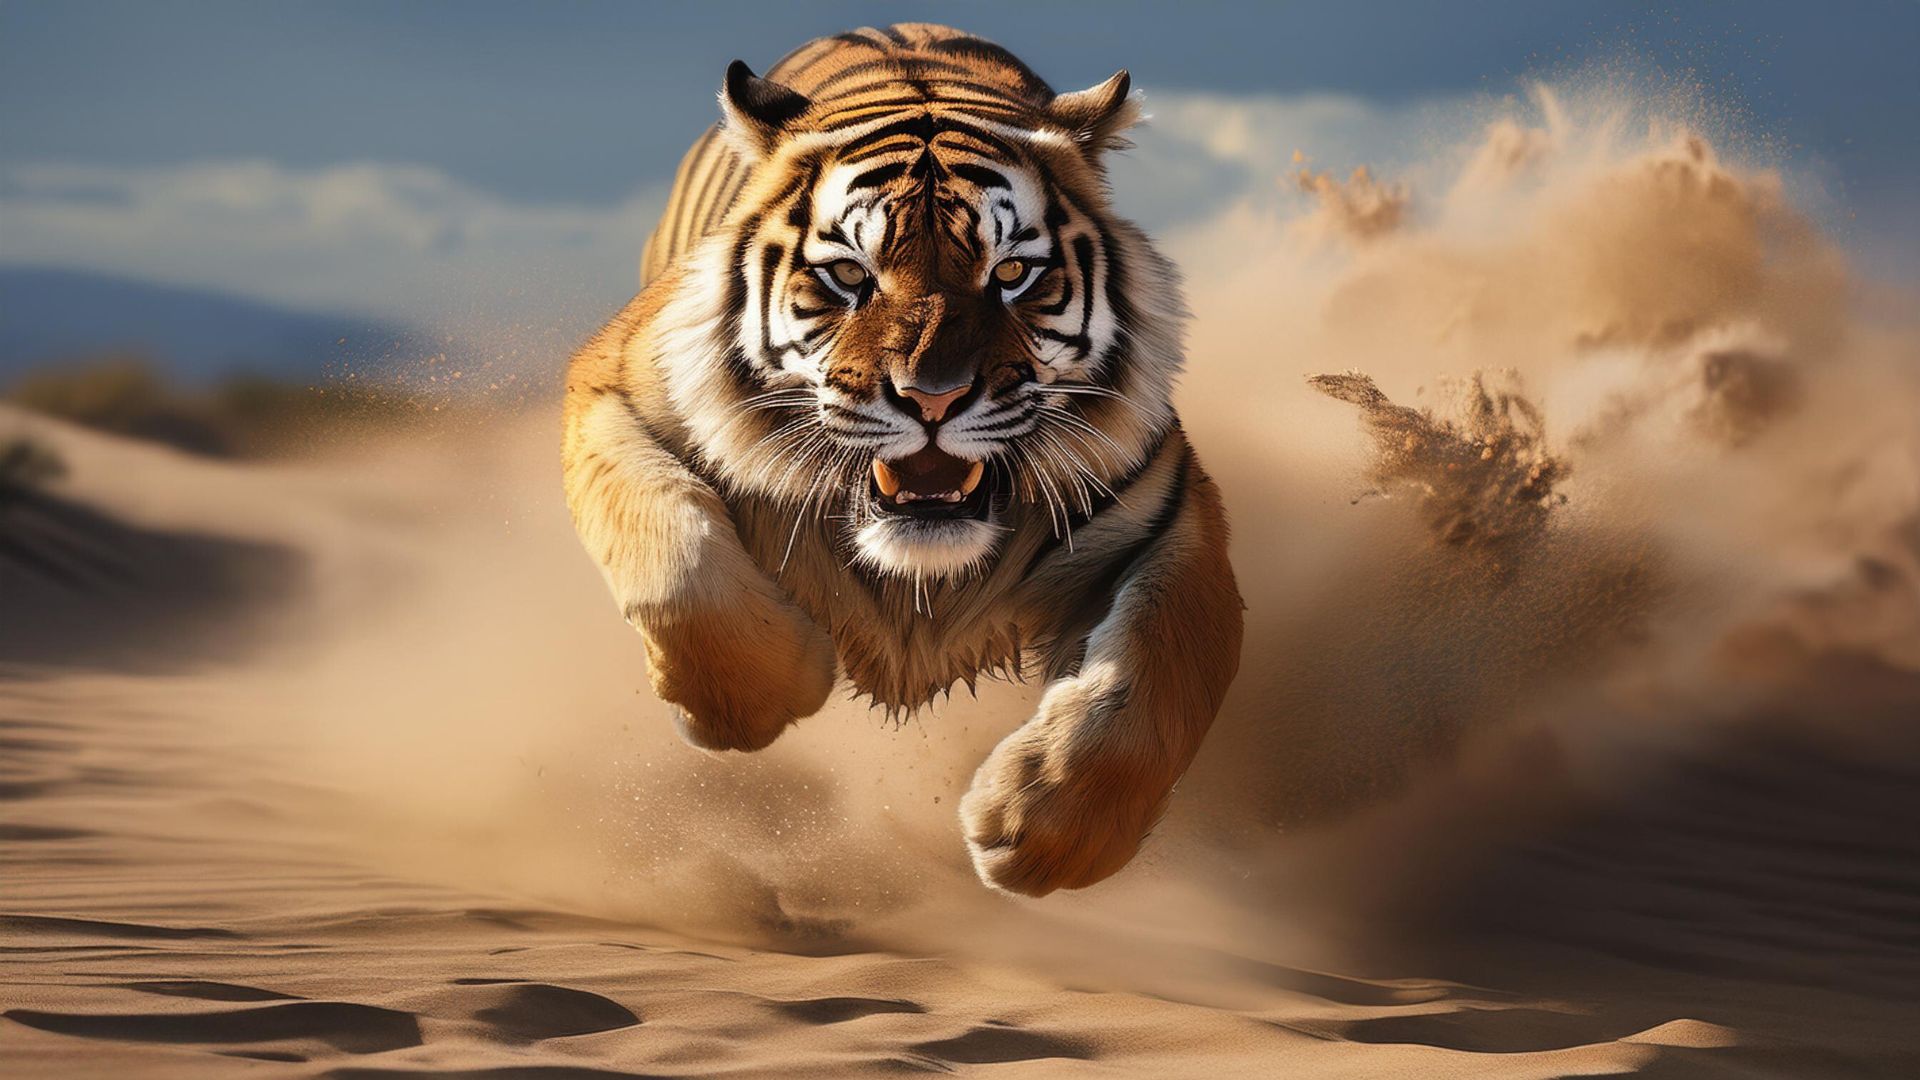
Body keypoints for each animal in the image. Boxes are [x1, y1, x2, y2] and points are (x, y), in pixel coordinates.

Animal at [563, 23, 1243, 897]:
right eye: (850, 275)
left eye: (1011, 273)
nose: (932, 397)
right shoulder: (615, 389)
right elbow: (676, 561)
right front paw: (764, 695)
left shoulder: (1168, 513)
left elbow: (1161, 666)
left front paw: (1043, 834)